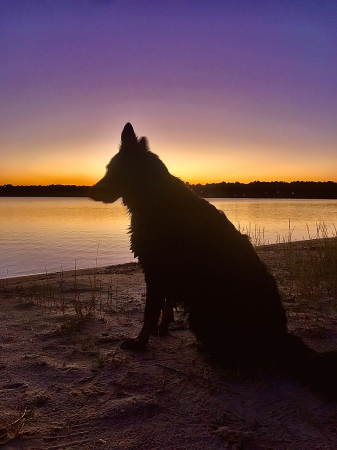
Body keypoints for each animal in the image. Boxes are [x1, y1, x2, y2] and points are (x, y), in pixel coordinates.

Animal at [90, 122, 336, 398]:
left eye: (114, 170)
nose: (89, 192)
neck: (155, 197)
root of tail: (279, 340)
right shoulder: (164, 272)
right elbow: (165, 305)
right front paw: (162, 328)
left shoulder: (154, 270)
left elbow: (149, 311)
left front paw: (141, 341)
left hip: (202, 311)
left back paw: (210, 354)